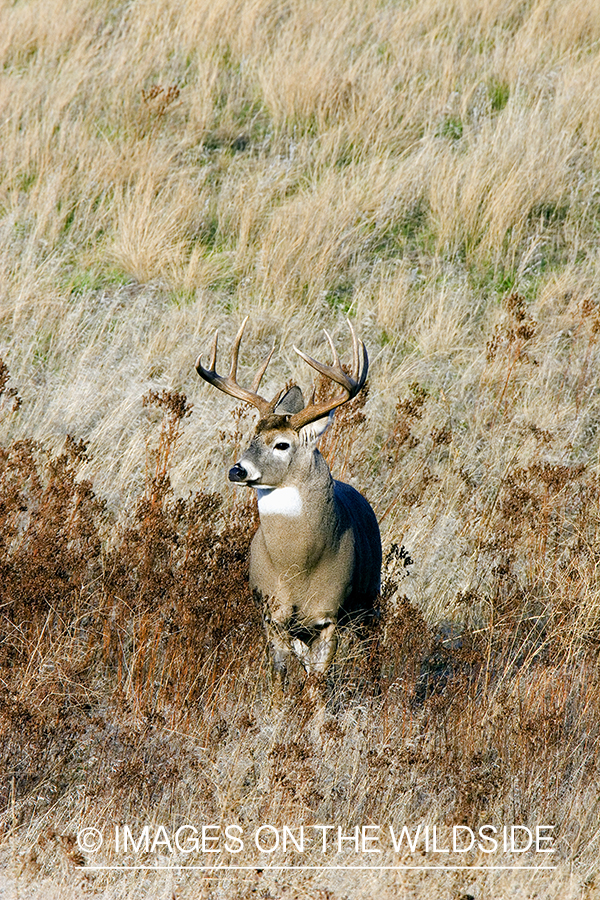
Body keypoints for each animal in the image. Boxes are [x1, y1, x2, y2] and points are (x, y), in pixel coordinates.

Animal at [195, 320, 382, 700]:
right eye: (251, 437)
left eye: (282, 444)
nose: (237, 470)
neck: (297, 567)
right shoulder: (272, 614)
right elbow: (280, 678)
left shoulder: (328, 615)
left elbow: (317, 686)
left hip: (369, 600)